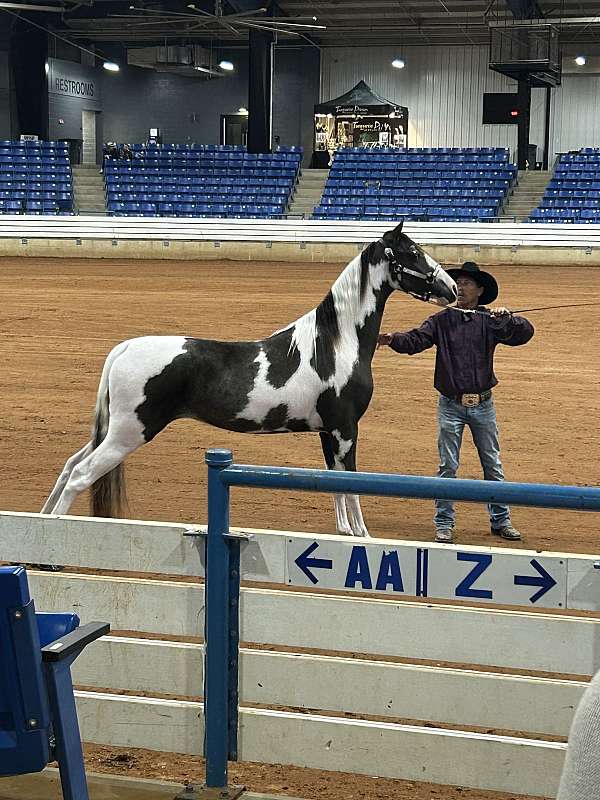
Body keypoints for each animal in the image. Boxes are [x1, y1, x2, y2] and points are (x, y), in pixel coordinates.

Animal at [41, 222, 454, 536]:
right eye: (413, 252)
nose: (451, 288)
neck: (335, 343)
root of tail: (124, 349)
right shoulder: (345, 428)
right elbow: (350, 484)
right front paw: (362, 536)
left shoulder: (328, 431)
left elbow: (335, 482)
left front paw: (345, 532)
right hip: (129, 434)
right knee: (80, 475)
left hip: (112, 431)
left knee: (68, 466)